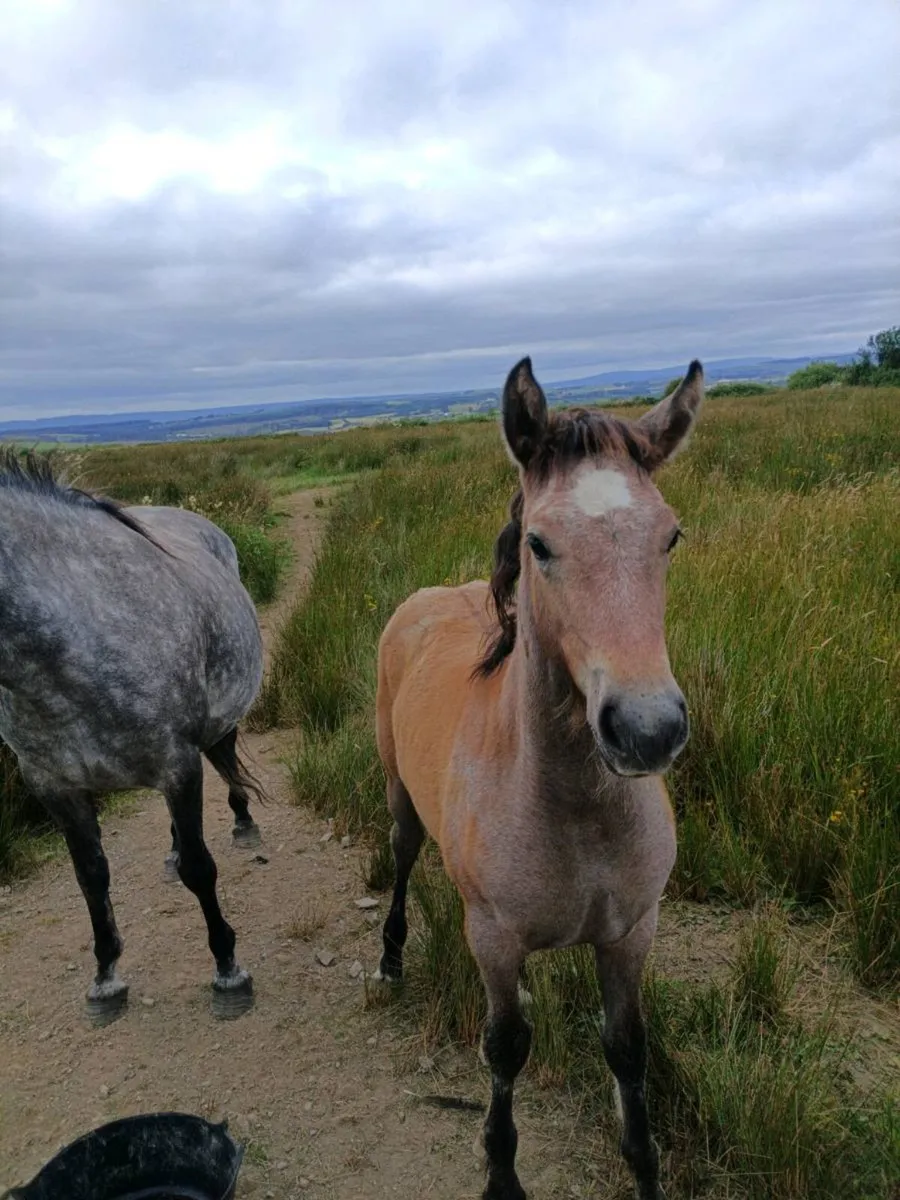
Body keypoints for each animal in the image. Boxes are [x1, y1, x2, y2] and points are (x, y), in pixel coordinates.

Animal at [0, 448, 264, 1024]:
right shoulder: (55, 787)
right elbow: (91, 879)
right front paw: (105, 979)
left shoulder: (178, 765)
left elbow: (200, 869)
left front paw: (228, 971)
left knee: (227, 759)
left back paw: (243, 824)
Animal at [373, 357, 704, 1200]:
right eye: (539, 542)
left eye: (670, 536)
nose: (646, 729)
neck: (573, 812)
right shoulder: (493, 939)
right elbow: (505, 1048)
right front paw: (500, 1174)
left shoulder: (631, 934)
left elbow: (627, 1049)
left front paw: (645, 1168)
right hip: (399, 801)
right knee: (399, 860)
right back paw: (388, 960)